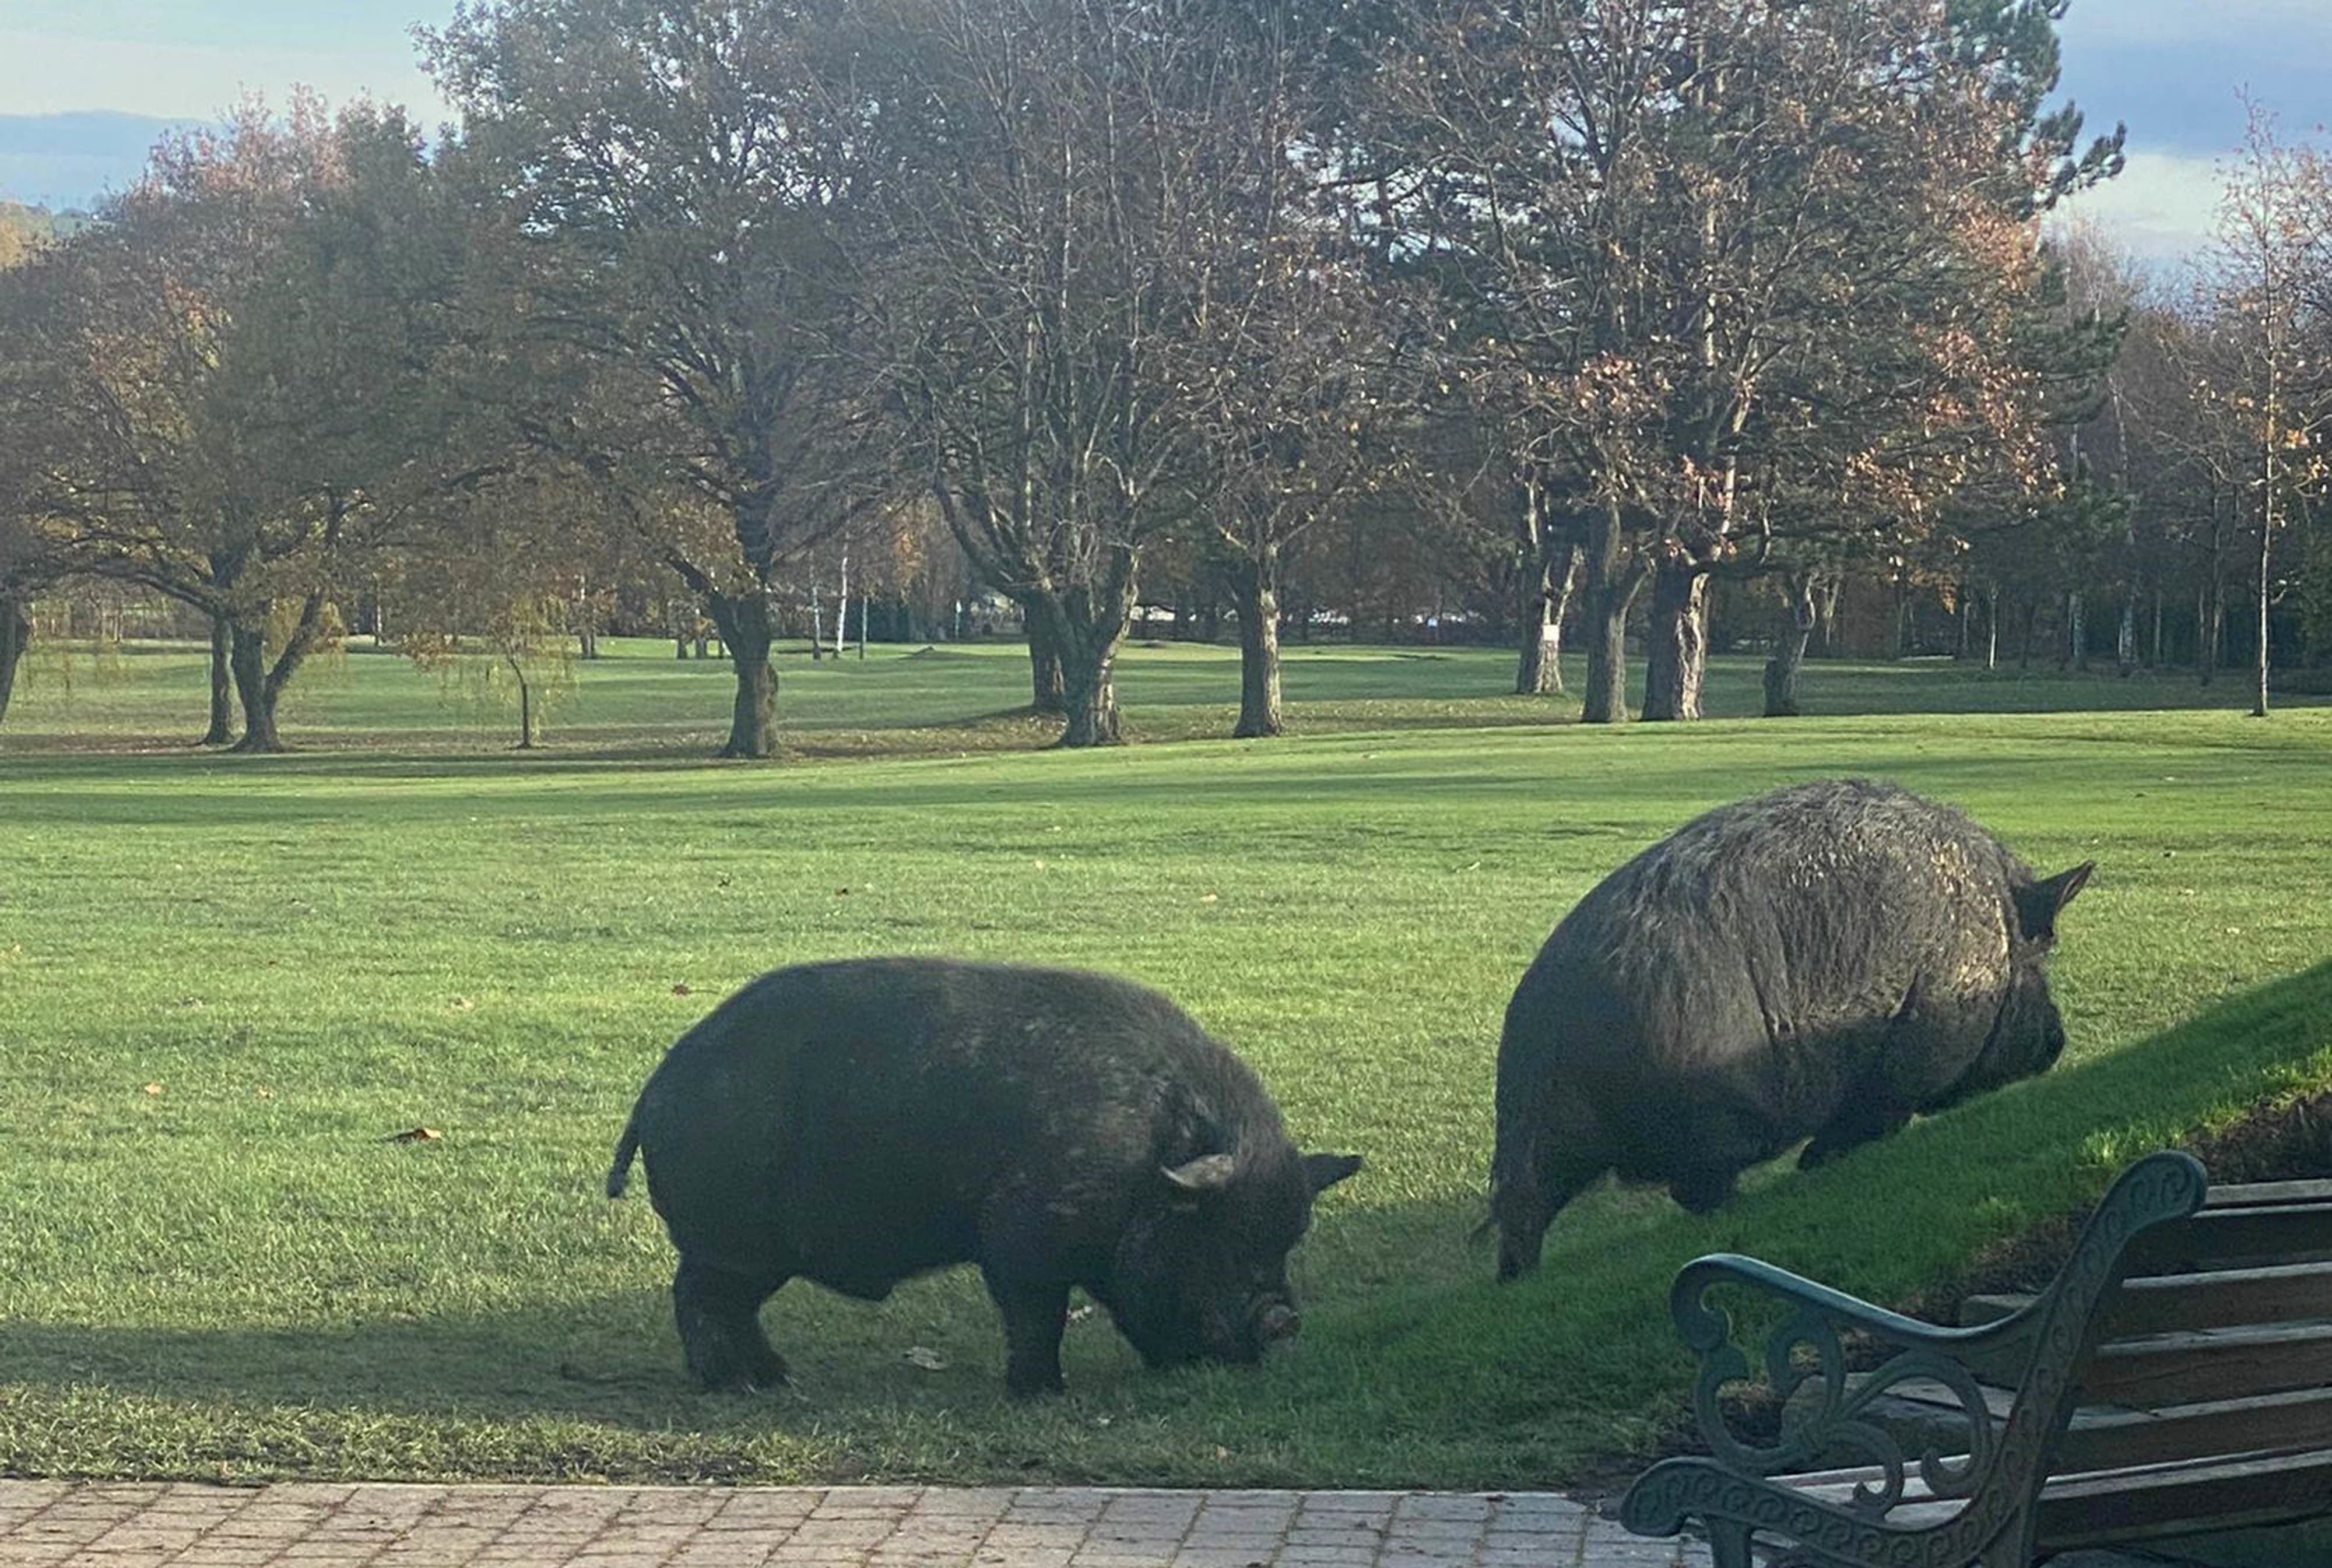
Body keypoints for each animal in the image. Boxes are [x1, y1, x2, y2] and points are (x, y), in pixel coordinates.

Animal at [606, 957, 1362, 1400]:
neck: (1146, 1161)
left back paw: (776, 1377)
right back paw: (745, 1385)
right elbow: (1037, 1315)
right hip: (732, 1243)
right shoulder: (1023, 1237)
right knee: (700, 1298)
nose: (1286, 1318)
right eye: (1224, 1236)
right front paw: (1045, 1393)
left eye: (1285, 1239)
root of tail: (656, 1088)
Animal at [1483, 779, 2108, 1278]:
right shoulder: (1912, 1054)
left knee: (1525, 1201)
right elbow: (1875, 1114)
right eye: (2041, 955)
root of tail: (1545, 1028)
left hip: (1543, 1135)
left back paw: (1518, 1278)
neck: (1994, 930)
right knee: (1695, 1187)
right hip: (1715, 1113)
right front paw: (1818, 1165)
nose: (2057, 1040)